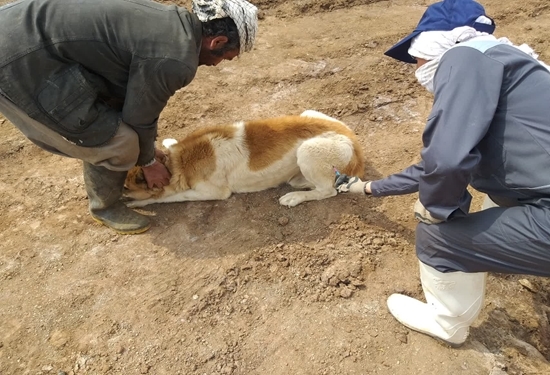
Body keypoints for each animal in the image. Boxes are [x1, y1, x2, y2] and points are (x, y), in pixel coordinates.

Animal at [125, 110, 366, 209]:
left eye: (126, 188)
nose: (120, 196)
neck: (180, 162)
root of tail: (355, 144)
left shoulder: (214, 192)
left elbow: (171, 197)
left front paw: (141, 202)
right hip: (308, 115)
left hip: (307, 150)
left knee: (327, 190)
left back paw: (295, 197)